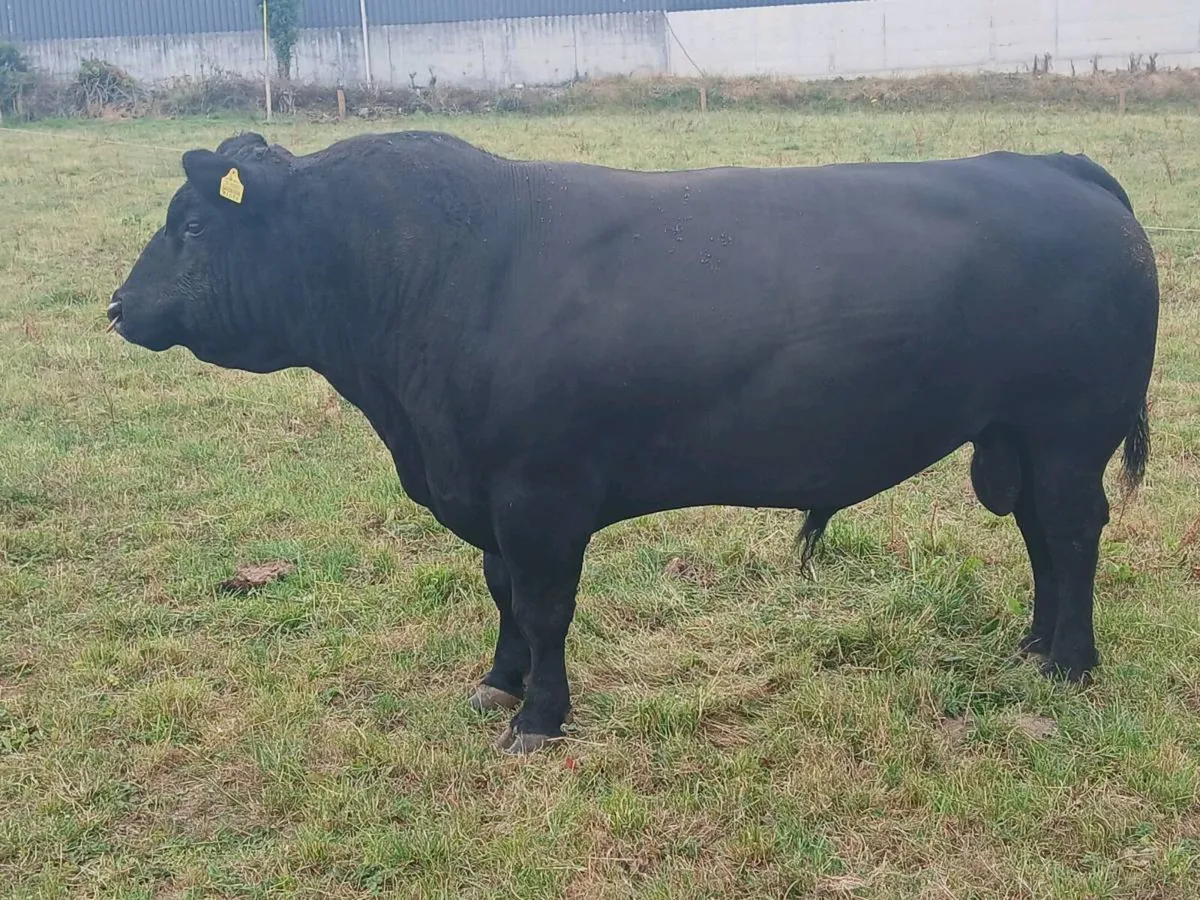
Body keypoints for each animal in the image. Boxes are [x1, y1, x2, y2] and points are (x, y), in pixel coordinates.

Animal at [109, 130, 1158, 754]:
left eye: (192, 225)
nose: (117, 306)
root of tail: (1054, 164)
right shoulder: (489, 496)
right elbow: (500, 593)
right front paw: (498, 685)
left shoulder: (540, 497)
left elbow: (544, 607)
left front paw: (540, 718)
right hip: (1019, 437)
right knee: (1040, 539)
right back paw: (1031, 646)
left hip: (1069, 432)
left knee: (1071, 534)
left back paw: (1070, 663)